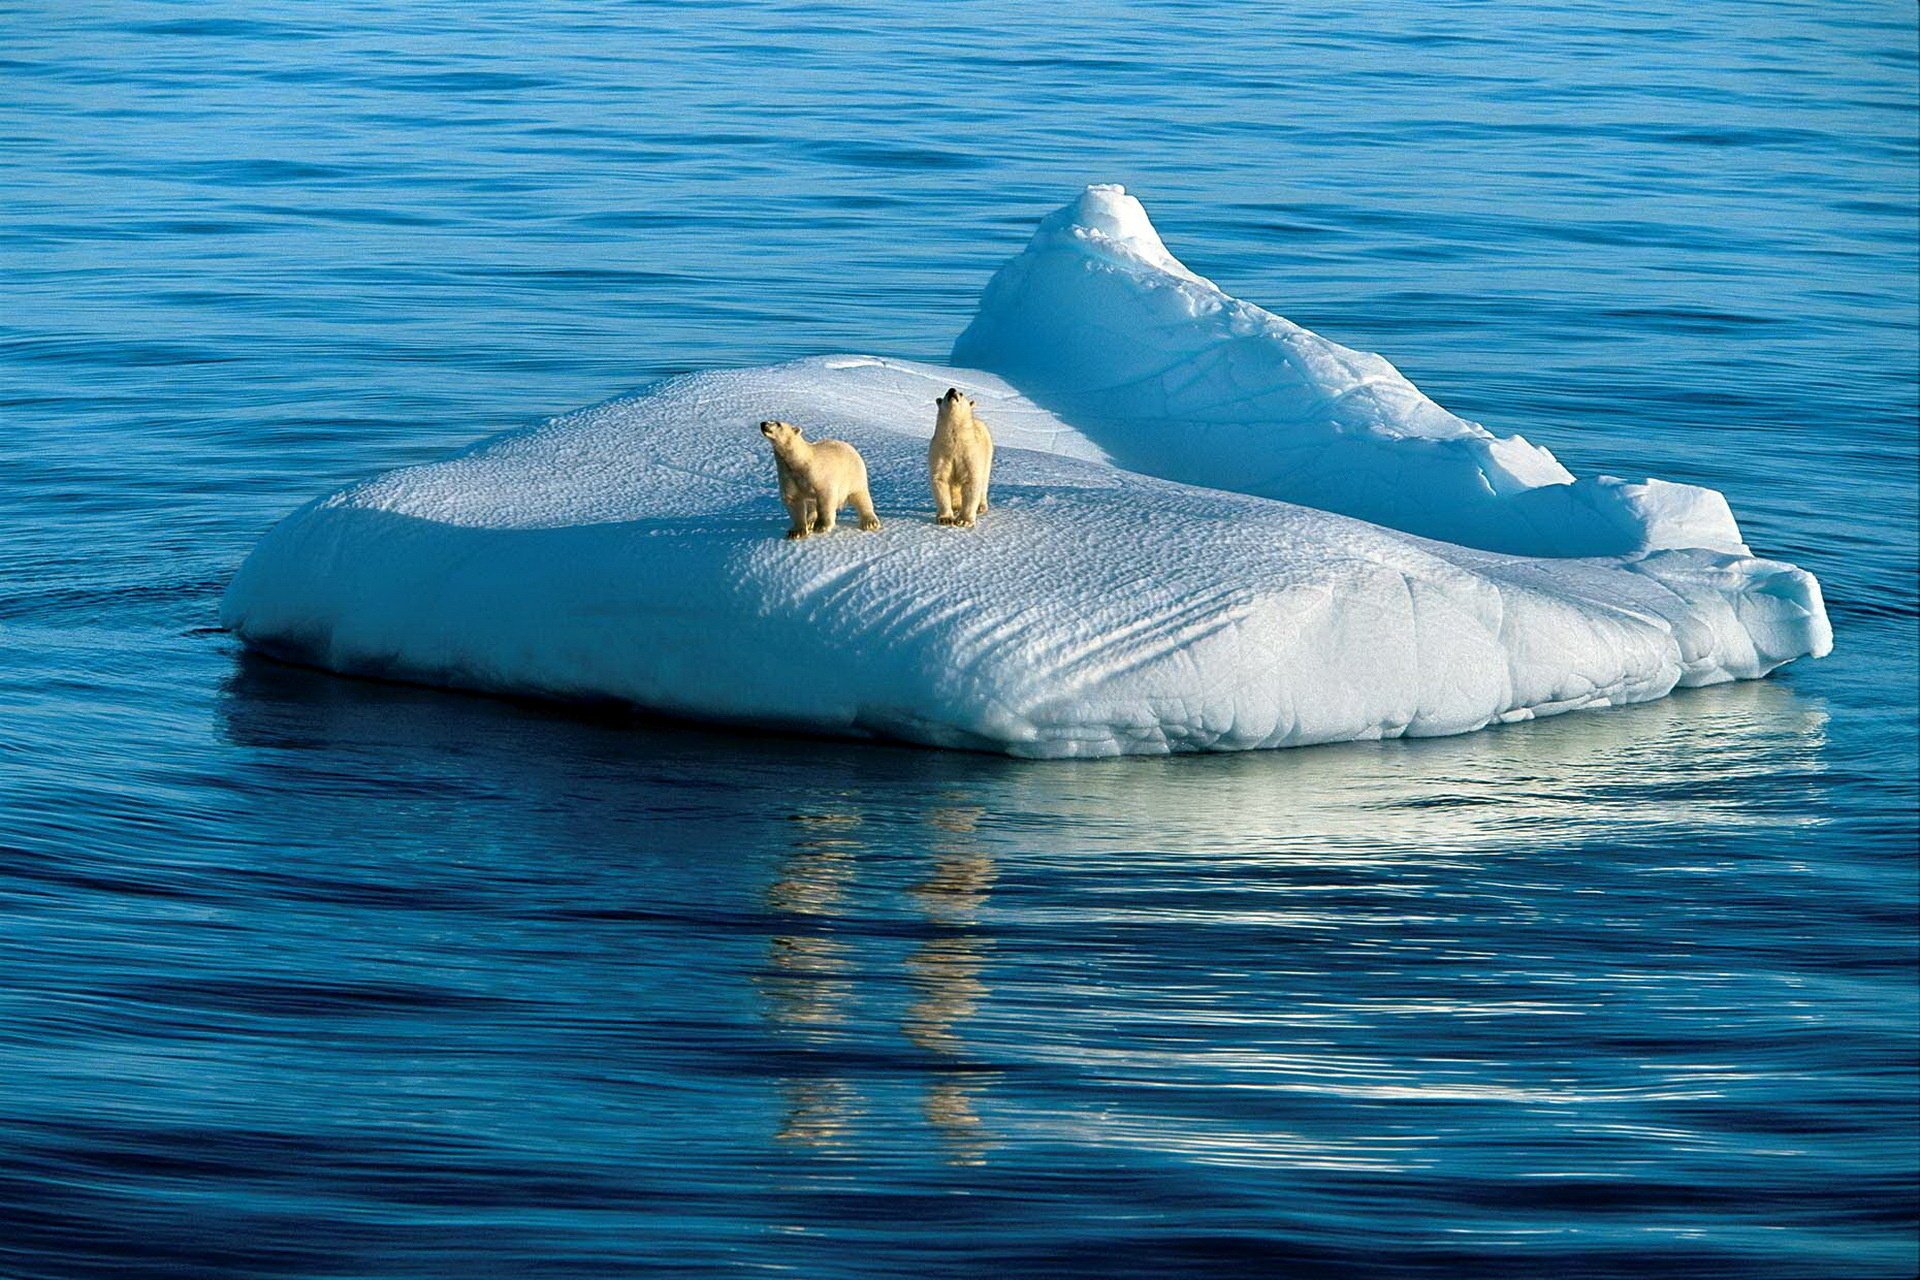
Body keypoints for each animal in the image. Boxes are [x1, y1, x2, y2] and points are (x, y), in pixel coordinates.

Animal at [925, 391, 990, 529]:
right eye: (945, 393)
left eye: (961, 393)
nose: (952, 390)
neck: (955, 443)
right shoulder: (940, 452)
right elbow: (940, 479)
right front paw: (945, 519)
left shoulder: (969, 453)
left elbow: (971, 481)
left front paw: (964, 521)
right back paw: (955, 507)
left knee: (984, 480)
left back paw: (981, 507)